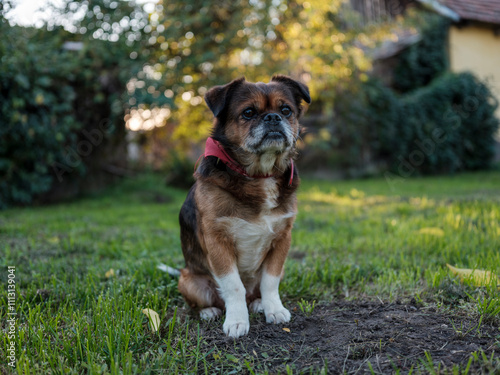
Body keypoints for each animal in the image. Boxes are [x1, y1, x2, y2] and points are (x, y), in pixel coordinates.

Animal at [178, 75, 310, 340]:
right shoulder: (218, 242)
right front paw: (237, 321)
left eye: (286, 110)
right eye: (248, 112)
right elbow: (233, 286)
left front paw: (274, 309)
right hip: (187, 279)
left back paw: (258, 303)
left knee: (254, 292)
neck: (259, 175)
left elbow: (270, 281)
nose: (273, 118)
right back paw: (209, 311)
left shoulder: (282, 239)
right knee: (208, 301)